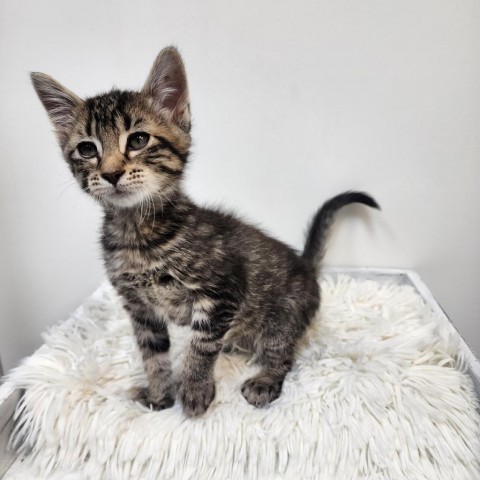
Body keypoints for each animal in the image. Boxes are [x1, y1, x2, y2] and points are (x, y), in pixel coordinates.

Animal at [31, 47, 380, 416]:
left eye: (138, 140)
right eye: (87, 149)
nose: (111, 173)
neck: (138, 234)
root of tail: (306, 266)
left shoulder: (222, 293)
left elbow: (201, 347)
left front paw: (194, 391)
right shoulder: (140, 309)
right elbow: (153, 355)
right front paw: (159, 397)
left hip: (281, 317)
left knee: (283, 353)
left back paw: (265, 380)